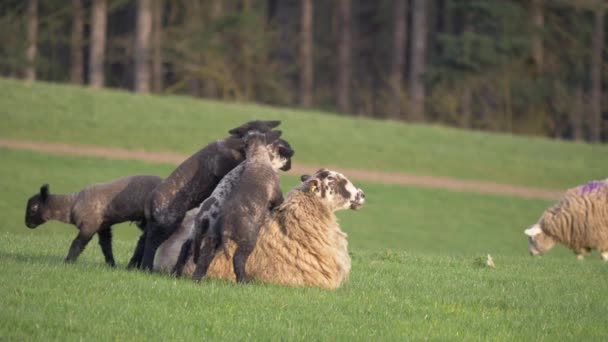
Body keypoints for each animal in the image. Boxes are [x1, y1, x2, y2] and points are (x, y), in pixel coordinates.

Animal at [23, 176, 163, 268]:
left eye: (33, 208)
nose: (27, 224)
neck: (71, 205)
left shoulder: (89, 226)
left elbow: (77, 244)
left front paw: (68, 262)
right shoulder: (103, 226)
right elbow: (106, 246)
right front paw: (111, 265)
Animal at [138, 119, 282, 270]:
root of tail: (149, 202)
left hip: (156, 225)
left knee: (142, 242)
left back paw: (134, 266)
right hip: (166, 224)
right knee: (152, 246)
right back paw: (146, 267)